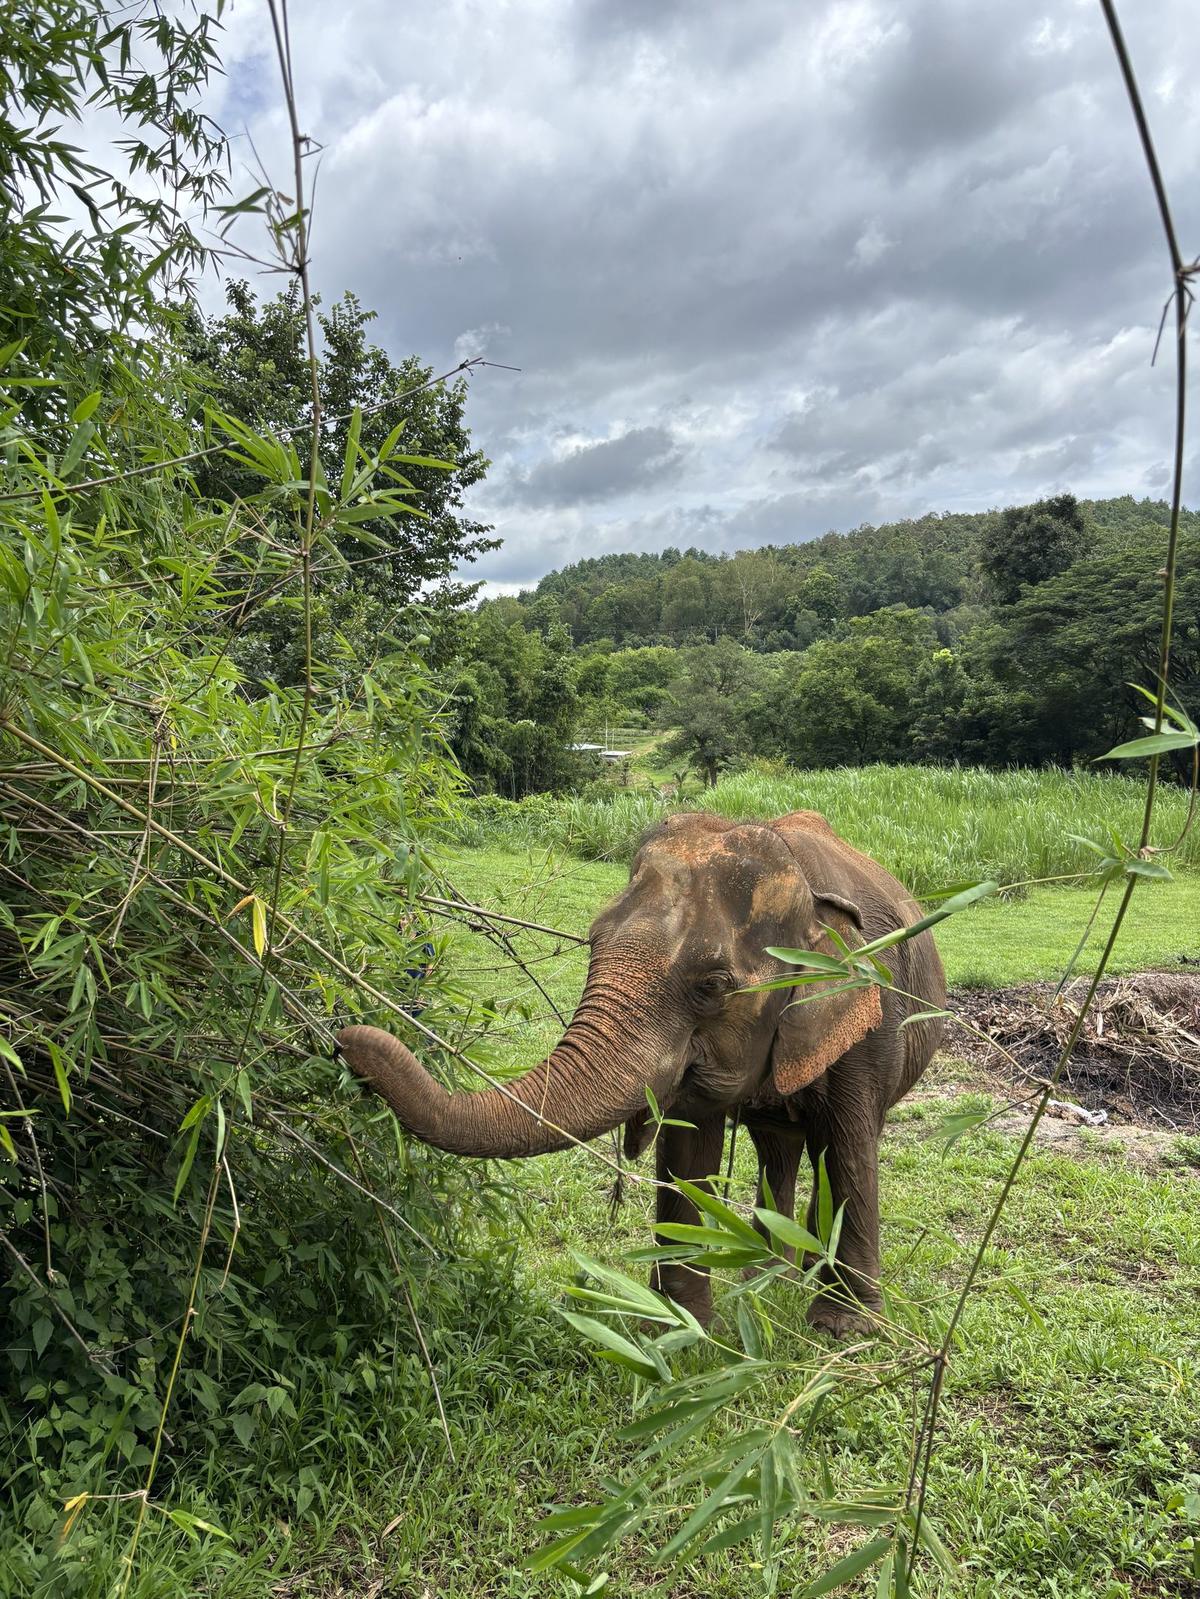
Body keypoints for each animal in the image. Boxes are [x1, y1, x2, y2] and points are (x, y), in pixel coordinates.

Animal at [337, 810, 946, 1337]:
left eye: (713, 985)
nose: (346, 1039)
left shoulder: (872, 1020)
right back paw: (764, 1276)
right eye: (592, 941)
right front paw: (678, 1329)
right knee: (777, 1146)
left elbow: (848, 1148)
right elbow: (687, 1151)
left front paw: (844, 1329)